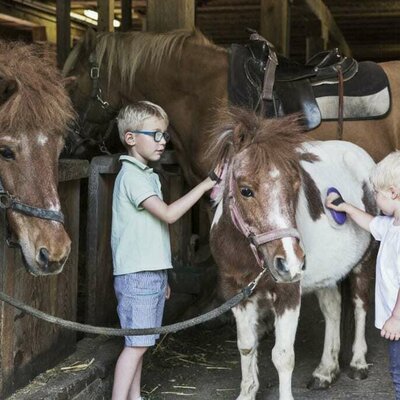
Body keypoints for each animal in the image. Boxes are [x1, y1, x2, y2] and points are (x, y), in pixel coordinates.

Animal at [208, 107, 376, 400]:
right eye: (245, 190)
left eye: (296, 185)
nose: (290, 262)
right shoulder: (236, 293)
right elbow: (246, 346)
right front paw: (247, 391)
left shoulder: (288, 293)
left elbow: (283, 356)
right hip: (327, 273)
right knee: (333, 309)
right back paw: (325, 371)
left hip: (363, 264)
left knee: (360, 305)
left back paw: (357, 363)